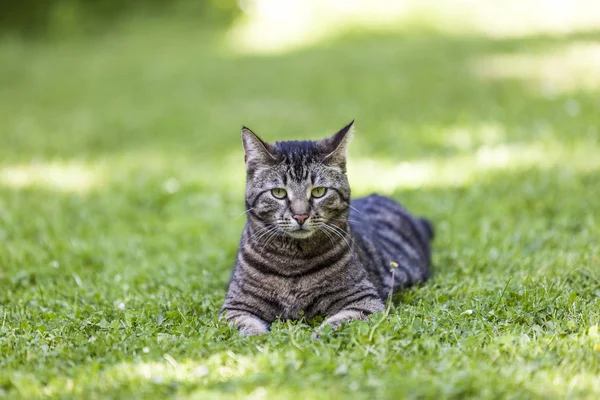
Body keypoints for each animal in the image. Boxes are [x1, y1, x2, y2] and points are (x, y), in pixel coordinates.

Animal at [219, 121, 432, 334]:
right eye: (278, 193)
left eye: (319, 191)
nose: (301, 215)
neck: (293, 263)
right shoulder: (236, 307)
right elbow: (248, 328)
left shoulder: (363, 300)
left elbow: (335, 324)